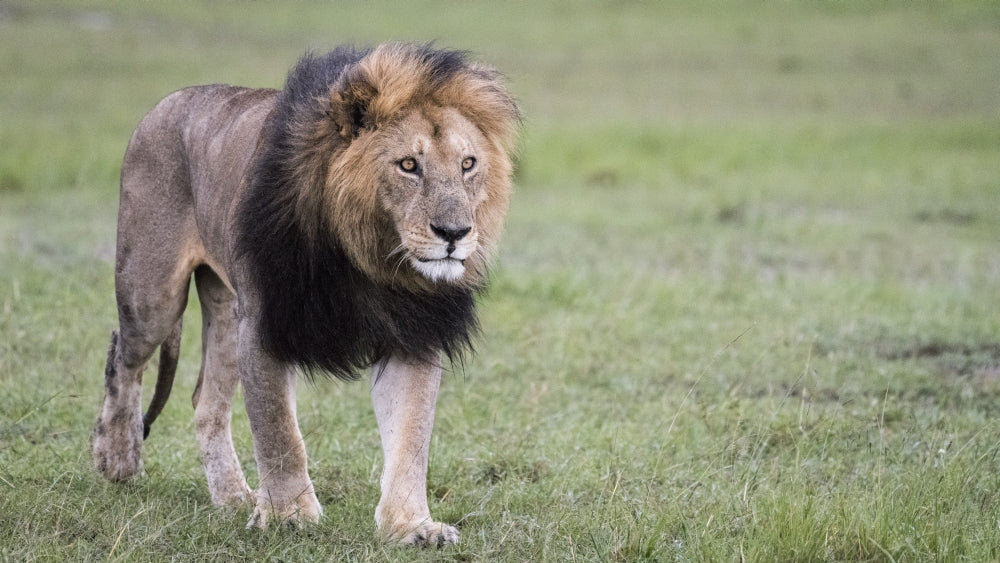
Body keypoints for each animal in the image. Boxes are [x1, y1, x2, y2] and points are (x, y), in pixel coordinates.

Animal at [91, 43, 519, 547]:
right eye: (409, 165)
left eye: (468, 164)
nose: (454, 233)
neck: (369, 259)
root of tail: (166, 103)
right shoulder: (265, 323)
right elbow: (279, 432)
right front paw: (289, 516)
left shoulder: (413, 335)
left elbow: (411, 436)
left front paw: (411, 526)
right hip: (153, 294)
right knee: (124, 358)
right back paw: (118, 458)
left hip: (225, 311)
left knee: (206, 404)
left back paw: (233, 497)